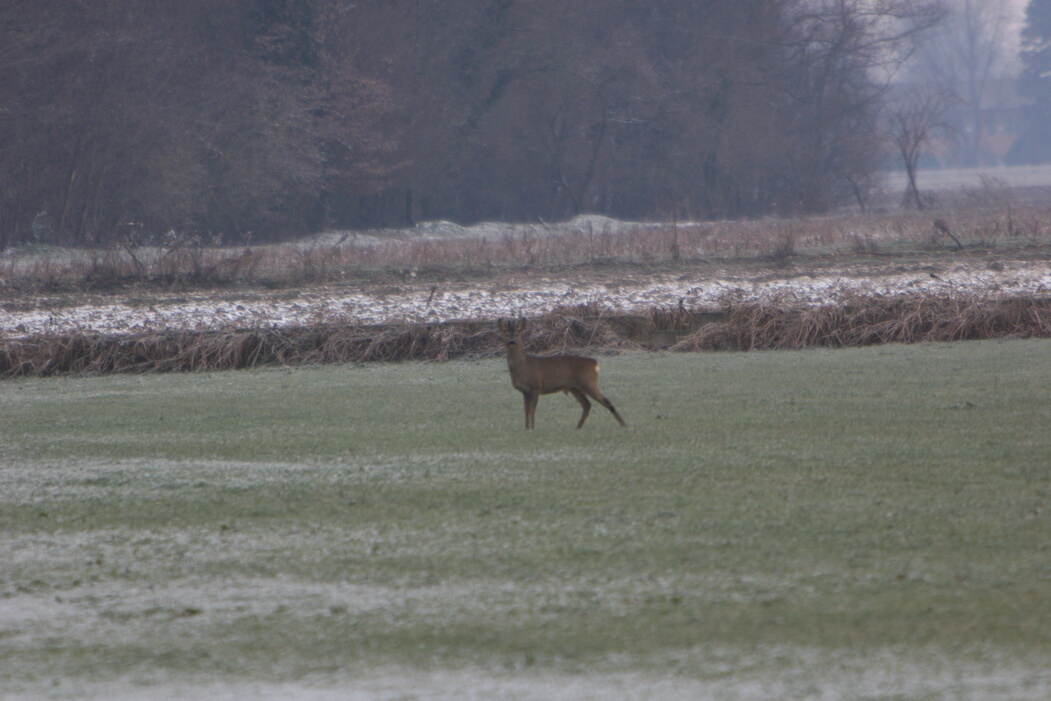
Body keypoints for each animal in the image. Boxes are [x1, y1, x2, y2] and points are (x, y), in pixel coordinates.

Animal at [498, 317, 626, 428]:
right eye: (506, 334)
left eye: (517, 334)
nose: (512, 342)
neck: (523, 366)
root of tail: (595, 364)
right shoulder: (525, 391)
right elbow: (526, 410)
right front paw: (526, 428)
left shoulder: (535, 387)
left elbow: (532, 410)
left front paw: (533, 429)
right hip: (575, 388)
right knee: (587, 405)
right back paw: (578, 427)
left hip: (589, 383)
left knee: (607, 402)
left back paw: (624, 425)